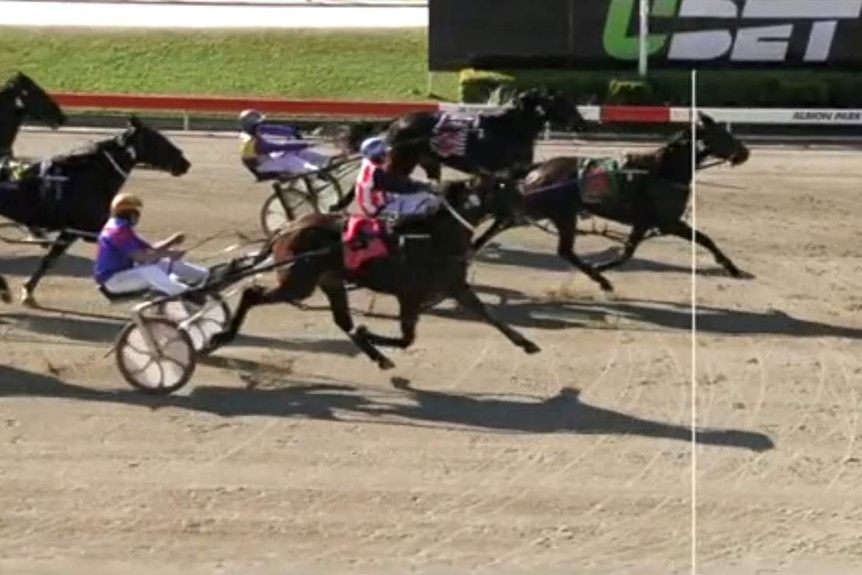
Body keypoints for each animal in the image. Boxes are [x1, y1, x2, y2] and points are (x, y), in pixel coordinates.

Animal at [0, 114, 192, 308]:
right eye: (158, 139)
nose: (184, 163)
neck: (86, 179)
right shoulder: (84, 229)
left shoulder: (76, 230)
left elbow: (49, 259)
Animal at [207, 174, 544, 368]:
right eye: (509, 190)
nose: (526, 210)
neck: (431, 235)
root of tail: (288, 227)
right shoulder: (411, 293)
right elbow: (407, 337)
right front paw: (368, 332)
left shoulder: (455, 287)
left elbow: (489, 315)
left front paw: (526, 343)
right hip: (298, 282)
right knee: (251, 292)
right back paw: (222, 335)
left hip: (330, 281)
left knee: (342, 320)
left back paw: (377, 357)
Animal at [328, 89, 592, 215]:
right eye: (563, 103)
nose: (582, 123)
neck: (510, 129)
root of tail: (398, 121)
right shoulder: (505, 170)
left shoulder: (502, 172)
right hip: (401, 159)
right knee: (376, 175)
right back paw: (342, 203)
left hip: (426, 162)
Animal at [470, 112, 752, 294]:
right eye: (723, 134)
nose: (745, 153)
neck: (662, 173)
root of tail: (540, 167)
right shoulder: (669, 222)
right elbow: (705, 239)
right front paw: (732, 267)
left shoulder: (643, 223)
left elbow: (627, 252)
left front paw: (604, 266)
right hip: (555, 212)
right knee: (548, 242)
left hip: (545, 211)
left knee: (508, 223)